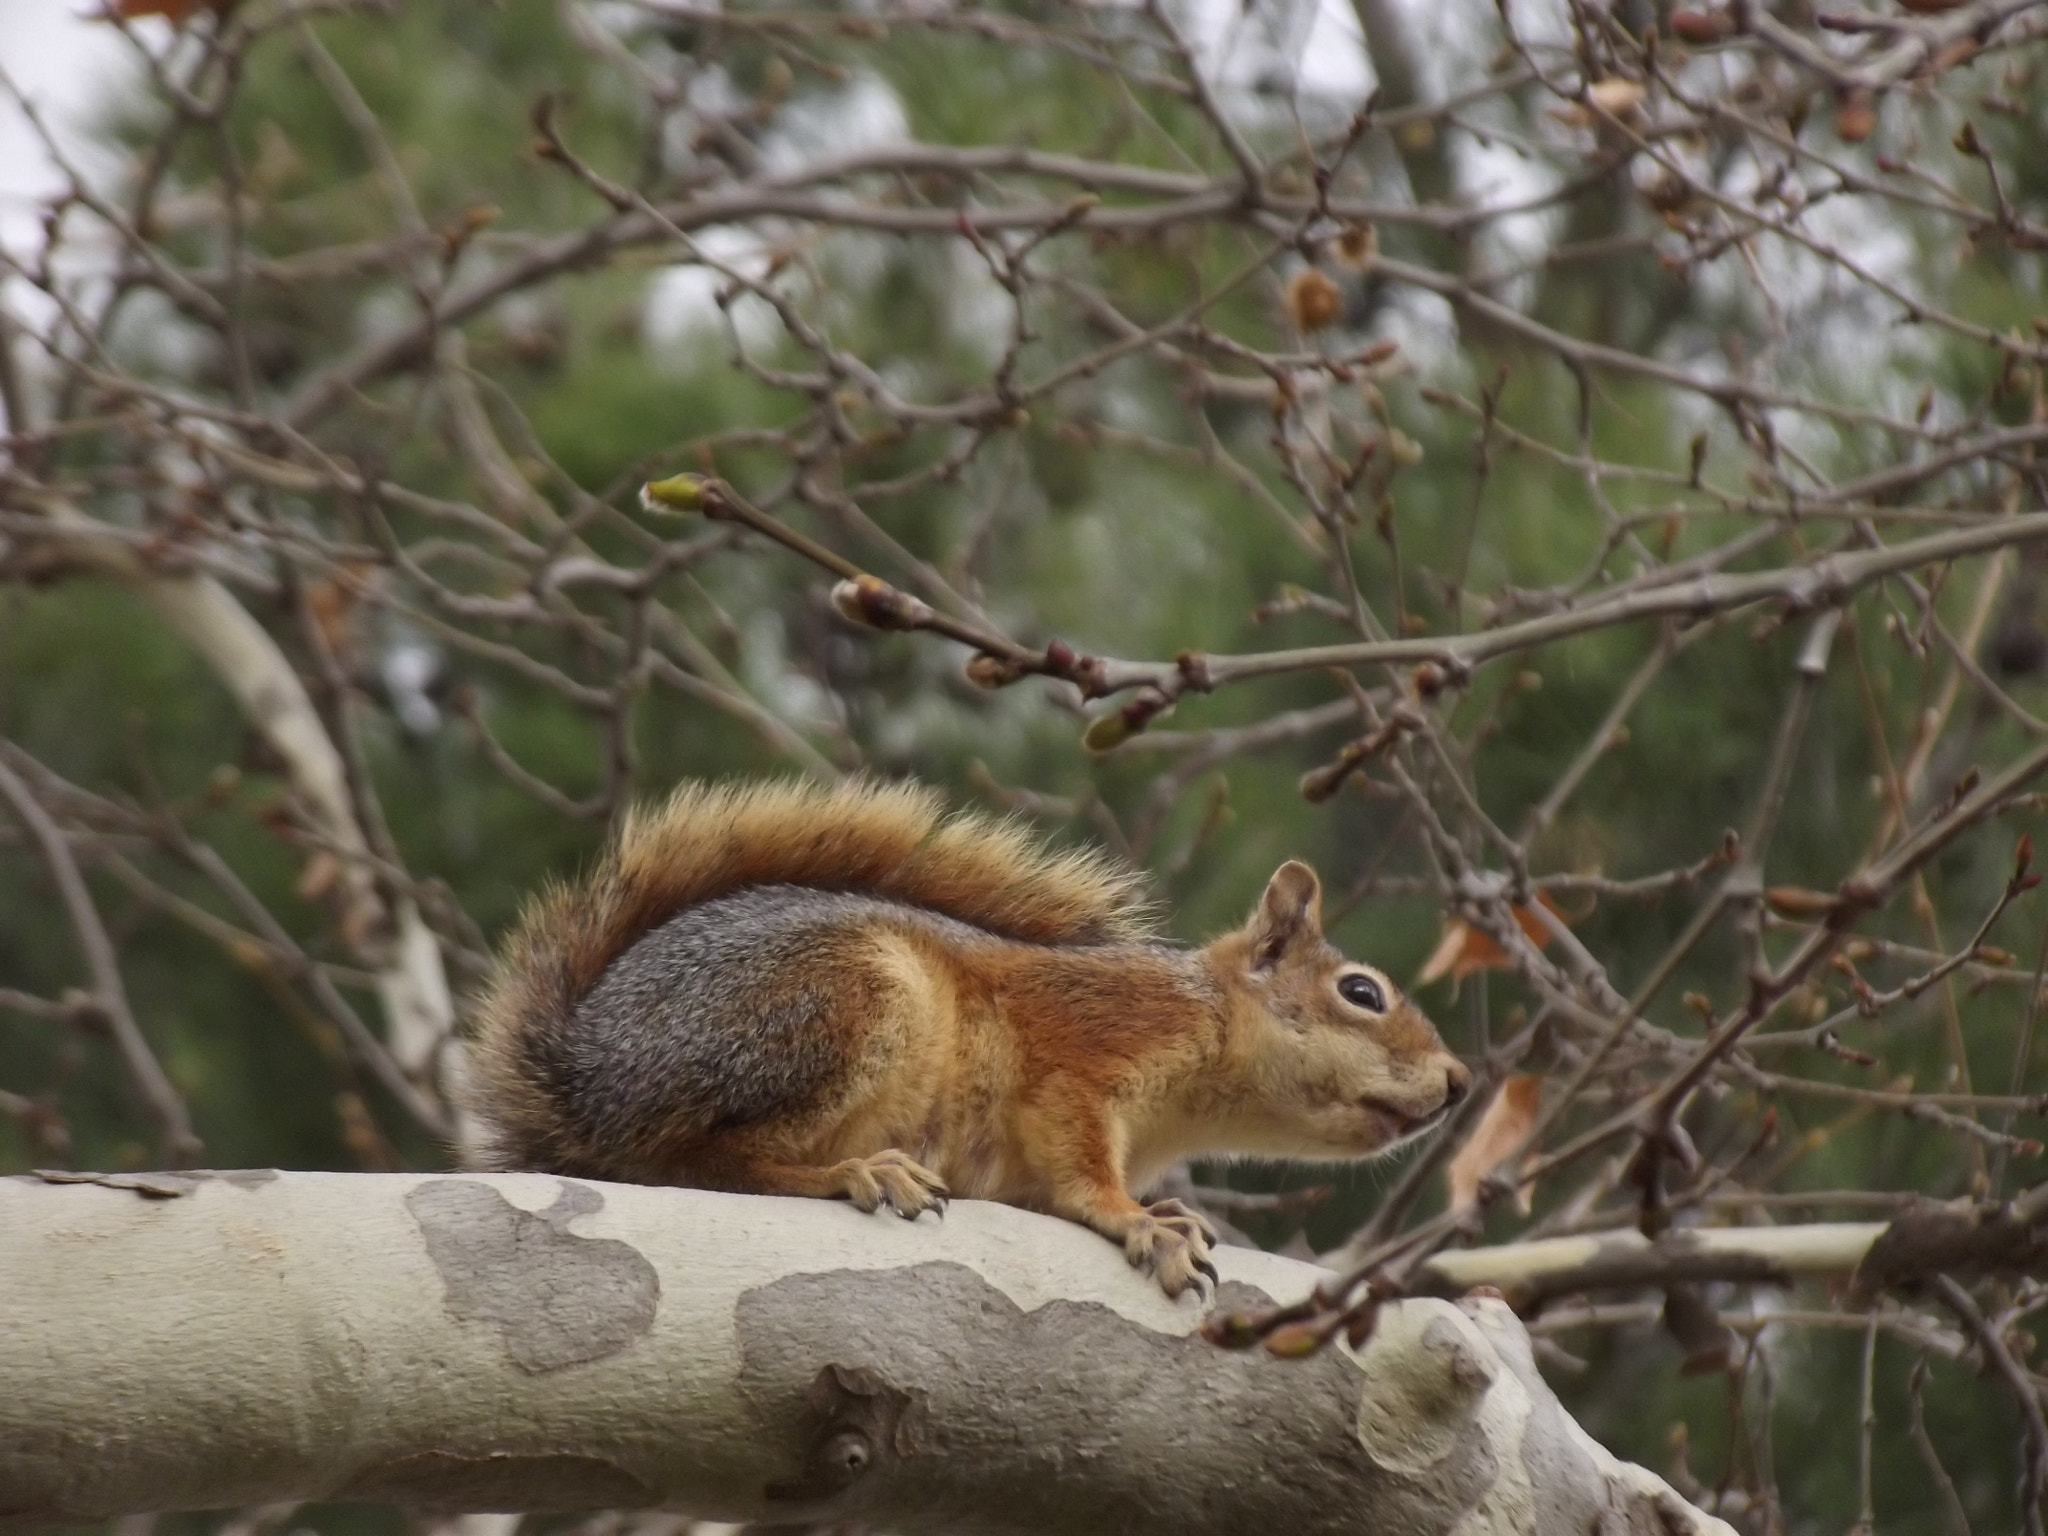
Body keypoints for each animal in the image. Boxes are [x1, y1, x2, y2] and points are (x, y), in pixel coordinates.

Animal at [464, 782, 1474, 1302]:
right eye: (1361, 993)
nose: (1462, 1081)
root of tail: (585, 1079)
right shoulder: (1088, 1050)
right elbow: (1082, 1165)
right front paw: (1141, 1221)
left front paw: (1172, 1212)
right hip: (834, 1008)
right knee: (697, 1162)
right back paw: (856, 1172)